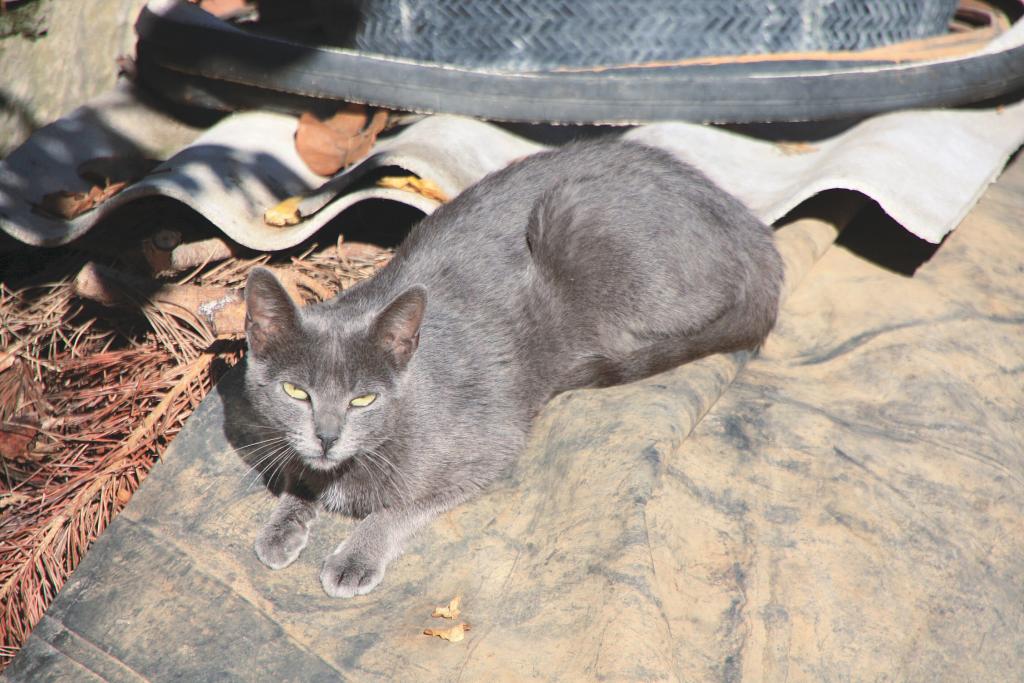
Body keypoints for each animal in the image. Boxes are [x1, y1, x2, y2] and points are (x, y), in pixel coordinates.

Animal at [239, 140, 782, 598]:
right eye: (296, 392)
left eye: (363, 399)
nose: (327, 436)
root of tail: (757, 235)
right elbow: (294, 472)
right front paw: (282, 527)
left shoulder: (487, 450)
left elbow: (399, 509)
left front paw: (354, 558)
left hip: (572, 217)